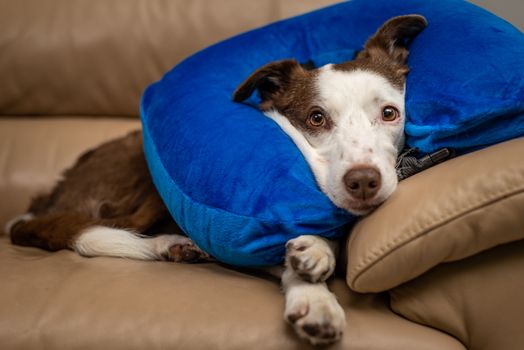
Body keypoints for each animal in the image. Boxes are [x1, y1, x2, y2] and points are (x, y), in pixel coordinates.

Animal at [3, 15, 426, 346]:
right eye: (316, 118)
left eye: (390, 113)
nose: (364, 181)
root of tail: (50, 197)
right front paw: (316, 294)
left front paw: (318, 252)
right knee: (101, 227)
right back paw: (166, 244)